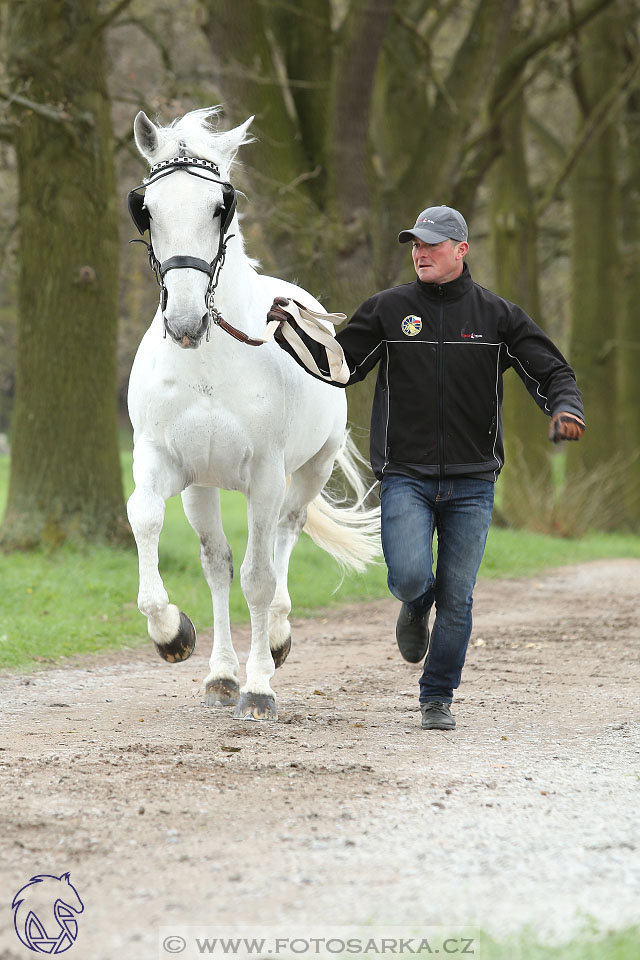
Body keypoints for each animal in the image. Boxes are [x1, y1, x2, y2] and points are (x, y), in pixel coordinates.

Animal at [125, 107, 380, 720]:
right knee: (218, 564)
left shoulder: (265, 475)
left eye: (221, 205)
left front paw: (260, 687)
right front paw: (172, 633)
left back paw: (277, 640)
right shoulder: (165, 461)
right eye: (147, 208)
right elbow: (148, 521)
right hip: (204, 487)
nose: (185, 322)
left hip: (309, 471)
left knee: (285, 536)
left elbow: (259, 577)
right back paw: (221, 674)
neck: (209, 361)